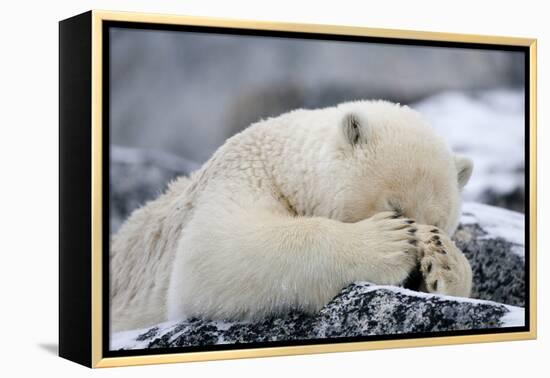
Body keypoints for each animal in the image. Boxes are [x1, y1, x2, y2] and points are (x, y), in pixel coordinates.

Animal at [111, 99, 474, 330]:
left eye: (439, 222)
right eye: (395, 208)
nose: (414, 276)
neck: (279, 161)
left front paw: (445, 261)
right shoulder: (239, 177)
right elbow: (214, 252)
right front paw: (389, 241)